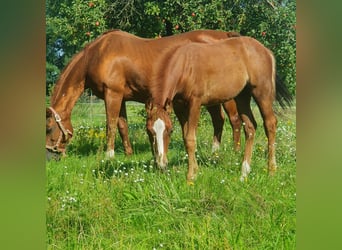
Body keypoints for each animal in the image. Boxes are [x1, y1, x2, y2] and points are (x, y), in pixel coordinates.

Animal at [45, 28, 242, 158]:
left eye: (48, 128)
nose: (50, 155)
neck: (97, 54)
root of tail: (225, 36)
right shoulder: (121, 97)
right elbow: (122, 126)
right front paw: (128, 154)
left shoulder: (112, 94)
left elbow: (111, 125)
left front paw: (109, 156)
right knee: (219, 120)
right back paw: (215, 151)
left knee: (234, 120)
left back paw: (235, 152)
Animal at [146, 36, 292, 183]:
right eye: (148, 131)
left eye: (170, 131)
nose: (161, 164)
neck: (185, 66)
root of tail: (266, 51)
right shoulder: (179, 106)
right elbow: (185, 137)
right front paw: (195, 170)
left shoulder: (195, 102)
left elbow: (190, 139)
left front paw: (190, 177)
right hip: (242, 96)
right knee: (250, 127)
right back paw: (244, 173)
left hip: (262, 92)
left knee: (270, 124)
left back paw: (271, 171)